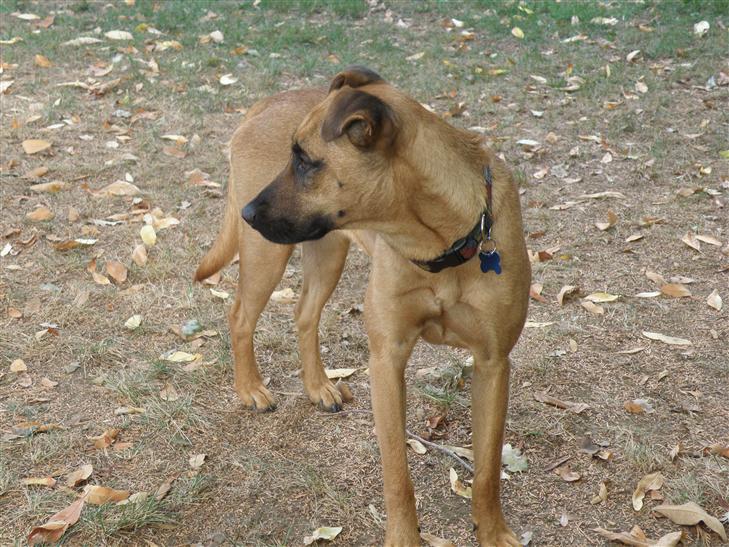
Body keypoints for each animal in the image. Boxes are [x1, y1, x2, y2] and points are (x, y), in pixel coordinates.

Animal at [195, 66, 528, 544]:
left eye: (304, 159)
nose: (248, 213)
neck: (440, 243)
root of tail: (263, 104)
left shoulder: (492, 363)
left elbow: (486, 471)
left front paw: (494, 532)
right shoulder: (387, 360)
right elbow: (397, 475)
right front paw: (404, 538)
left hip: (326, 253)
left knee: (303, 314)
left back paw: (318, 386)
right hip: (266, 256)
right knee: (240, 315)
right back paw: (251, 389)